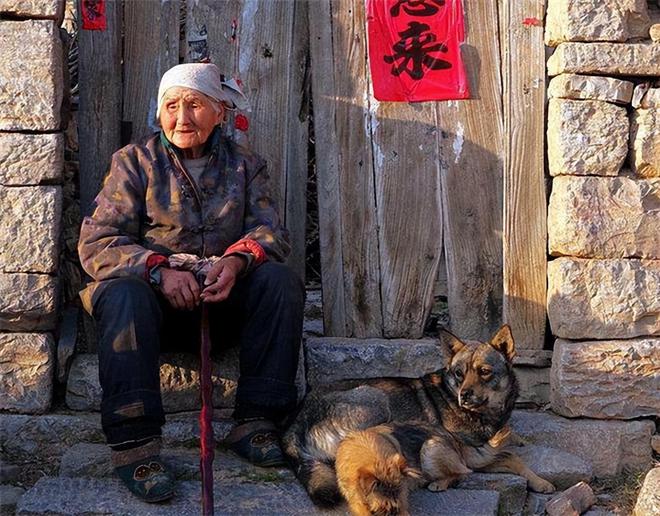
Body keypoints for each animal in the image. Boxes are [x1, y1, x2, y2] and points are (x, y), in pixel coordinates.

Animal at [282, 324, 556, 510]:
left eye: (484, 371)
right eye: (459, 373)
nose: (464, 395)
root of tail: (297, 418)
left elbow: (510, 444)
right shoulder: (472, 453)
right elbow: (510, 456)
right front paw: (540, 481)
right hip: (376, 400)